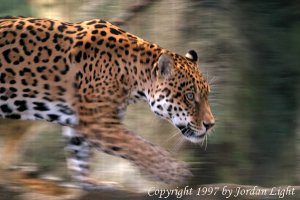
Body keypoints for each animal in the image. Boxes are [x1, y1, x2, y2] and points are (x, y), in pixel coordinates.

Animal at [0, 16, 216, 188]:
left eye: (206, 95)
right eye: (189, 96)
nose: (211, 124)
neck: (133, 74)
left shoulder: (81, 121)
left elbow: (80, 154)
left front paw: (91, 183)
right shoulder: (99, 121)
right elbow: (137, 144)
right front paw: (172, 170)